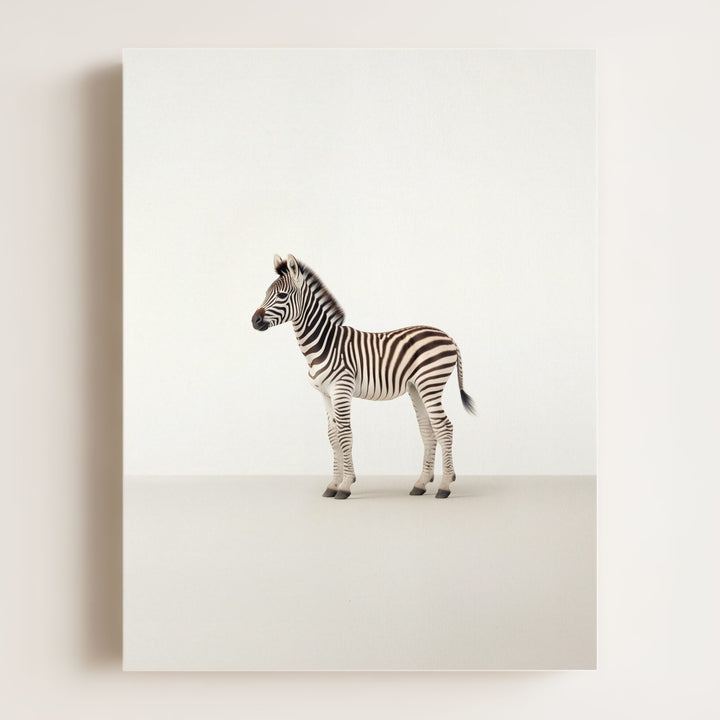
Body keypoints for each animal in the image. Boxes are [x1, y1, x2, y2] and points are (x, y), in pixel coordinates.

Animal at [251, 254, 475, 499]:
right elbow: (332, 436)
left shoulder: (341, 388)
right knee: (428, 429)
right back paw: (421, 483)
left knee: (444, 427)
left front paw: (345, 485)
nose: (254, 321)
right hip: (417, 387)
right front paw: (333, 484)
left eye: (281, 295)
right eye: (265, 293)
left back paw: (445, 486)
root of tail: (448, 336)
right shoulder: (325, 394)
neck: (323, 344)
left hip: (430, 383)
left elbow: (345, 434)